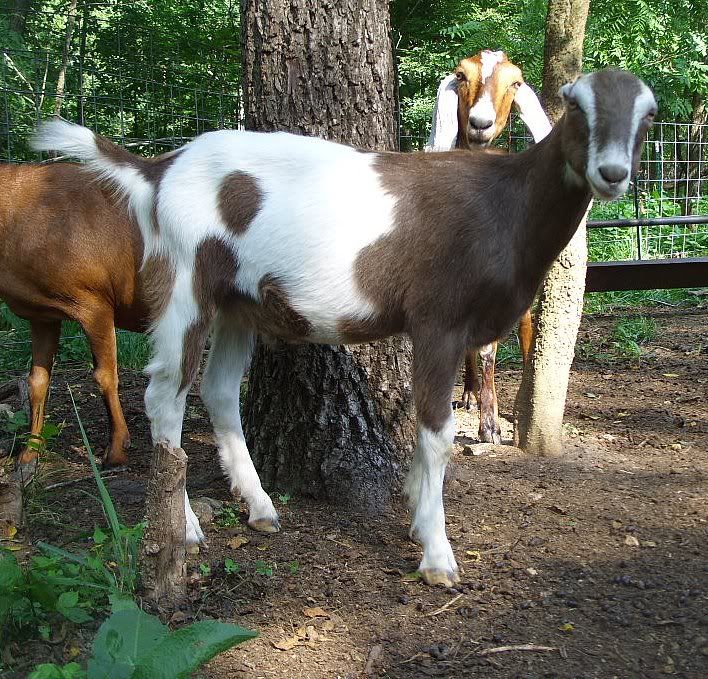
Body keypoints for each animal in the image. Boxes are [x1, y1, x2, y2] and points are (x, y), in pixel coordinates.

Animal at [427, 49, 551, 444]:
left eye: (516, 81)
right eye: (461, 75)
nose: (480, 123)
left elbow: (490, 350)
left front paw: (491, 425)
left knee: (524, 326)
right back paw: (467, 393)